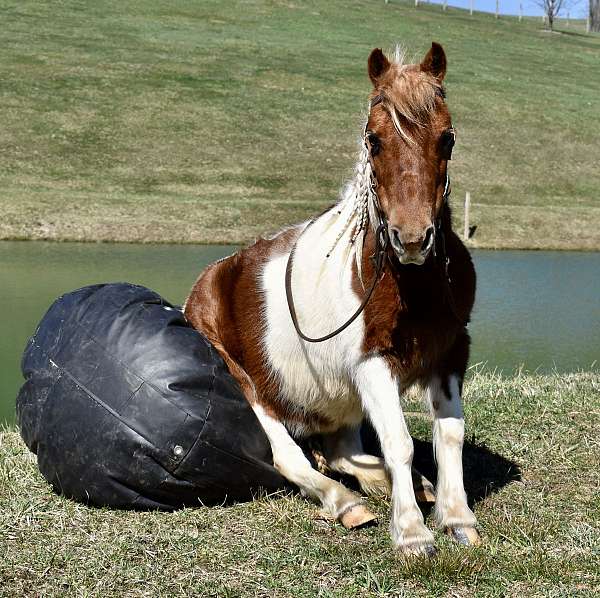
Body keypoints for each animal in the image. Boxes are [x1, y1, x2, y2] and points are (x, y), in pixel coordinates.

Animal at [185, 43, 480, 556]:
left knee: (343, 450)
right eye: (374, 140)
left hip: (337, 402)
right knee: (290, 456)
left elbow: (450, 434)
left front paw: (456, 516)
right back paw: (345, 501)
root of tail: (208, 278)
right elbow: (400, 442)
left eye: (447, 138)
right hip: (249, 384)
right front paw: (412, 533)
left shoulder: (449, 355)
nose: (412, 238)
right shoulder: (372, 364)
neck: (410, 285)